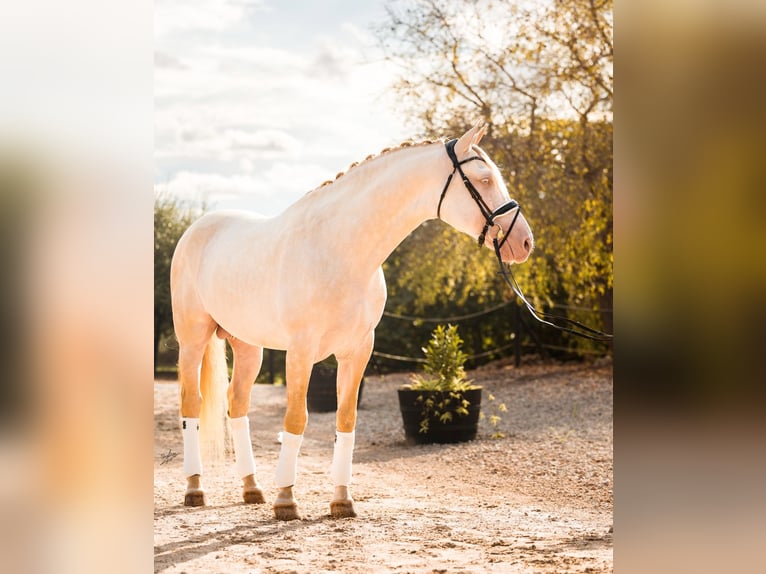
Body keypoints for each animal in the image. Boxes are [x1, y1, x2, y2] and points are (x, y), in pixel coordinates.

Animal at [171, 125, 536, 520]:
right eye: (484, 179)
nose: (524, 242)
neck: (341, 249)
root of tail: (195, 230)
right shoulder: (300, 352)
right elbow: (295, 419)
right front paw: (286, 499)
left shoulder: (358, 350)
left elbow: (345, 419)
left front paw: (341, 500)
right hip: (193, 340)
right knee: (191, 404)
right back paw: (195, 488)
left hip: (249, 347)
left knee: (236, 405)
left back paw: (252, 488)